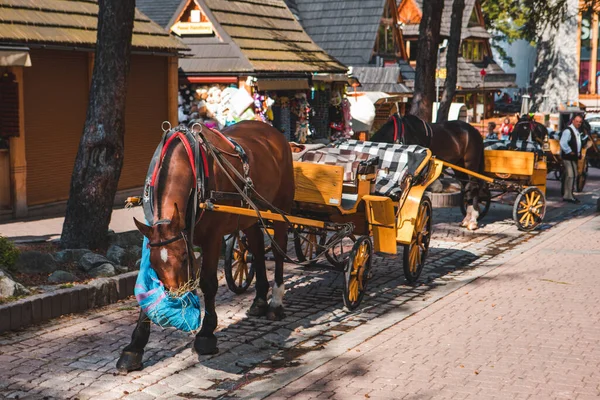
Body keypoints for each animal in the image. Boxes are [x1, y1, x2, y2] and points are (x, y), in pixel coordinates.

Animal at [116, 120, 294, 374]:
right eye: (155, 264)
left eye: (183, 257)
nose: (175, 298)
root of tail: (270, 130)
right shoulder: (152, 238)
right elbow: (146, 290)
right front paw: (134, 348)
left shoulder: (213, 237)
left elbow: (209, 283)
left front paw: (206, 334)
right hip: (249, 213)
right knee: (258, 249)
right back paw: (260, 300)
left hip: (280, 207)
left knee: (278, 251)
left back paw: (276, 303)